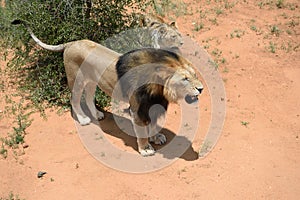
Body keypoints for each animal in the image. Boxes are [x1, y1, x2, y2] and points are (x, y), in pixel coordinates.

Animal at [12, 19, 204, 156]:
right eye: (185, 79)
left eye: (194, 75)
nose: (201, 89)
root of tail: (72, 43)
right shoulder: (137, 108)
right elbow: (142, 129)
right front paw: (145, 149)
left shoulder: (154, 104)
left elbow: (154, 124)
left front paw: (156, 137)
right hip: (76, 80)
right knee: (74, 99)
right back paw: (83, 119)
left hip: (92, 81)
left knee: (89, 97)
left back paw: (97, 114)